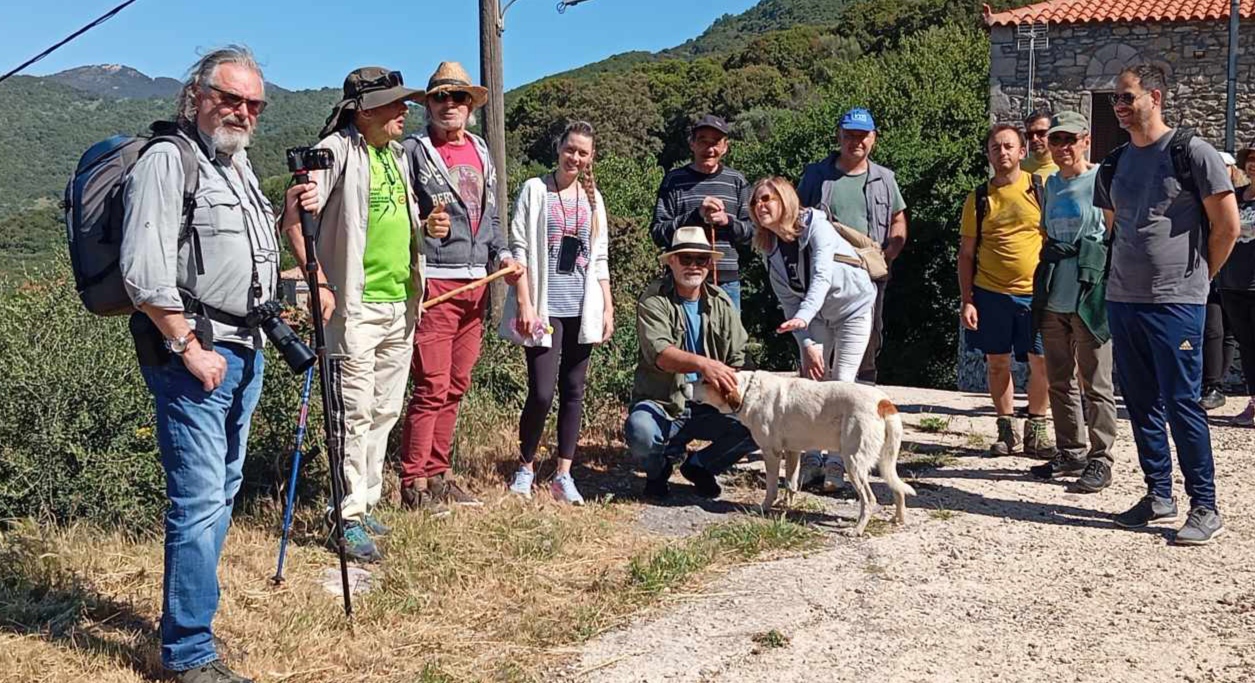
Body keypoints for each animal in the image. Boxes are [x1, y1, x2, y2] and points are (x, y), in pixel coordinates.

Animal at [692, 371, 918, 537]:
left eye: (705, 381)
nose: (685, 385)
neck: (748, 391)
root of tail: (883, 402)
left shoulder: (771, 452)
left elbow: (772, 488)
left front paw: (764, 508)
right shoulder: (792, 451)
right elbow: (790, 484)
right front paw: (787, 506)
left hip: (854, 463)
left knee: (869, 500)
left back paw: (857, 530)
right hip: (884, 461)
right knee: (898, 490)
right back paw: (898, 519)